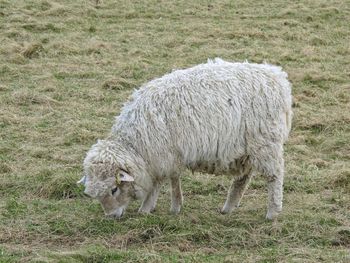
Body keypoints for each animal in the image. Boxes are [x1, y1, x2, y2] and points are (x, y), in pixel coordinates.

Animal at [79, 58, 292, 221]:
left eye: (114, 189)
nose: (111, 217)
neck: (135, 146)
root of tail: (276, 77)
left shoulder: (162, 155)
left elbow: (160, 183)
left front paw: (149, 208)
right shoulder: (169, 155)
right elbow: (173, 179)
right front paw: (171, 206)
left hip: (266, 142)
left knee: (274, 176)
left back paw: (272, 212)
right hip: (246, 149)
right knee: (243, 178)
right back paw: (228, 207)